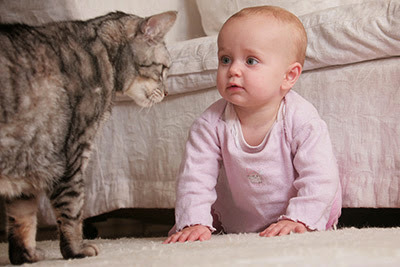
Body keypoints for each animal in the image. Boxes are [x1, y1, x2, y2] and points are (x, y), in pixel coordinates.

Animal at [0, 9, 176, 264]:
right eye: (163, 69)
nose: (167, 92)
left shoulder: (29, 155)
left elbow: (22, 215)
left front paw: (25, 255)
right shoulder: (72, 152)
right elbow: (72, 209)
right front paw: (75, 250)